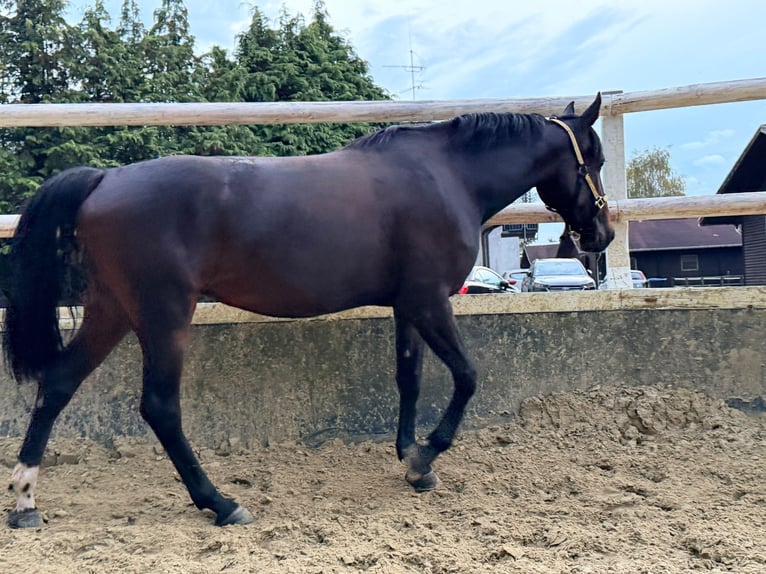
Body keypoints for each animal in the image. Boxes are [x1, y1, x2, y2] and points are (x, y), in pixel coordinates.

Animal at [4, 94, 613, 528]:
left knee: (58, 383)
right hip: (163, 315)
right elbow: (466, 376)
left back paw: (26, 501)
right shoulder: (430, 300)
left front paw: (408, 458)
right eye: (597, 159)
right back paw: (221, 503)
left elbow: (409, 377)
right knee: (159, 407)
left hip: (112, 310)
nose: (601, 236)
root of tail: (103, 179)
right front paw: (425, 458)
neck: (444, 176)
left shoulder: (407, 305)